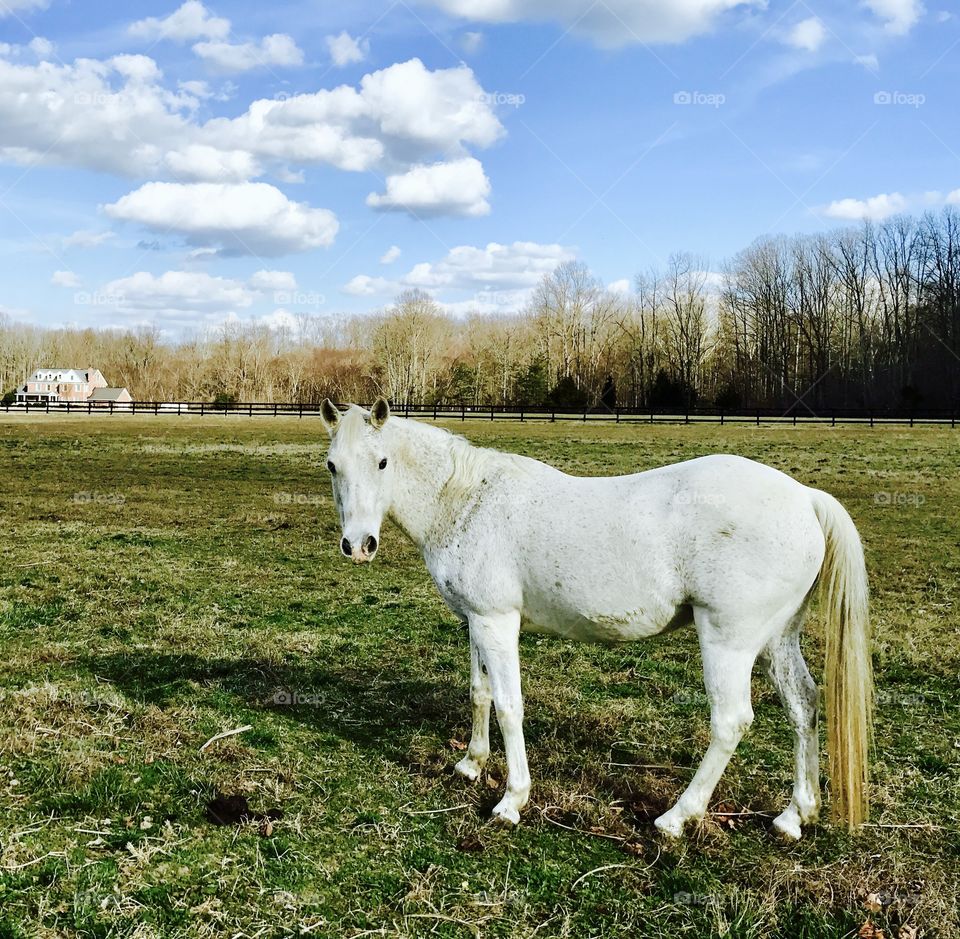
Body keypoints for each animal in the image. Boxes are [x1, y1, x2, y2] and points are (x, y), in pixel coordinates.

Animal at [318, 400, 872, 840]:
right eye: (331, 466)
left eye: (382, 461)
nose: (358, 545)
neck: (468, 500)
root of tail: (804, 498)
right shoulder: (476, 621)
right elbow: (480, 694)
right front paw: (471, 766)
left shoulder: (497, 623)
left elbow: (509, 707)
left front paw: (511, 801)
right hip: (778, 640)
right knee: (803, 707)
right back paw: (794, 817)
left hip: (728, 643)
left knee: (731, 721)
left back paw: (676, 818)